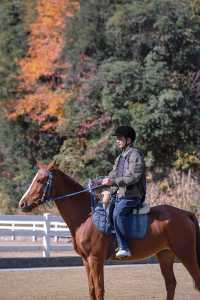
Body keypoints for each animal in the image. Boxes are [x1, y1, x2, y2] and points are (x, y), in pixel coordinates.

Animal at [18, 163, 200, 298]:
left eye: (40, 180)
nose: (22, 204)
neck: (86, 216)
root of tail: (184, 213)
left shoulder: (95, 259)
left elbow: (99, 290)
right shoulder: (86, 260)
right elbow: (92, 290)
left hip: (186, 254)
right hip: (165, 255)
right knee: (170, 284)